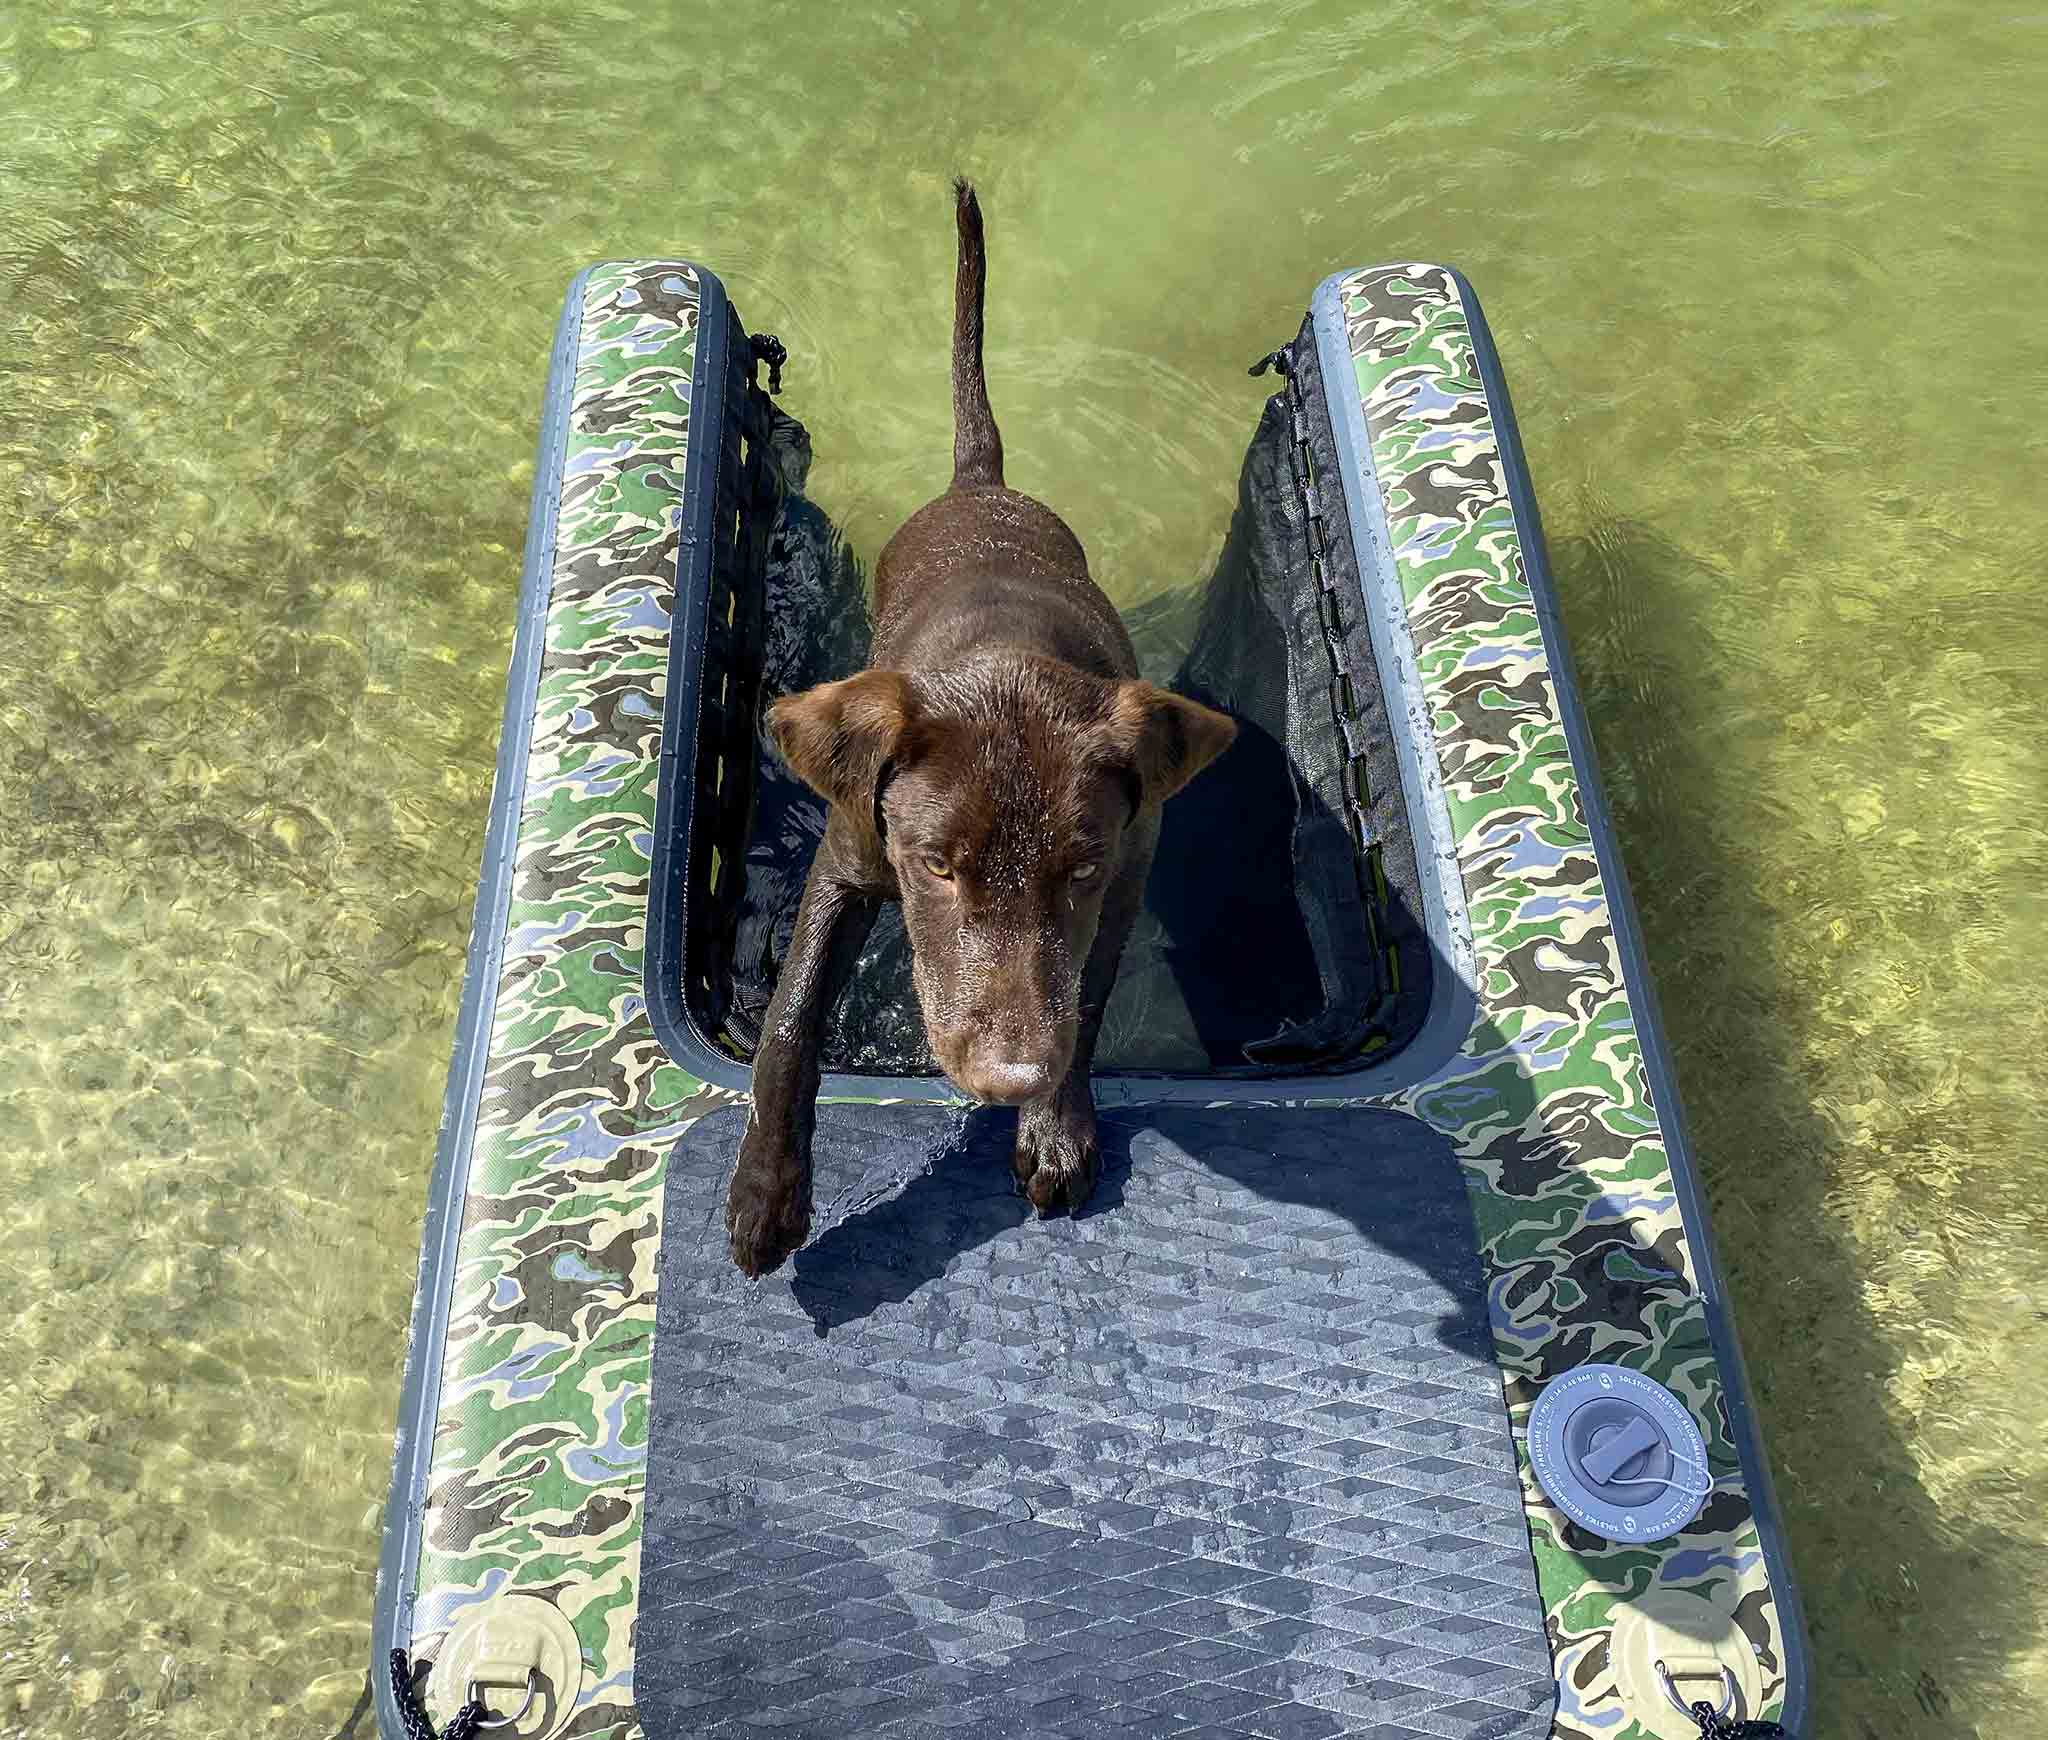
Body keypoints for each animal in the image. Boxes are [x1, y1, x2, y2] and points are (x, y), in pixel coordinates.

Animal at [720, 180, 1228, 1277]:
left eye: (1080, 869)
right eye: (937, 868)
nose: (1005, 1078)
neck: (1006, 657)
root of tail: (978, 483)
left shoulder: (1123, 879)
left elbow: (1080, 997)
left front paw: (1056, 1127)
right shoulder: (846, 860)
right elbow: (789, 1020)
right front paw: (766, 1195)